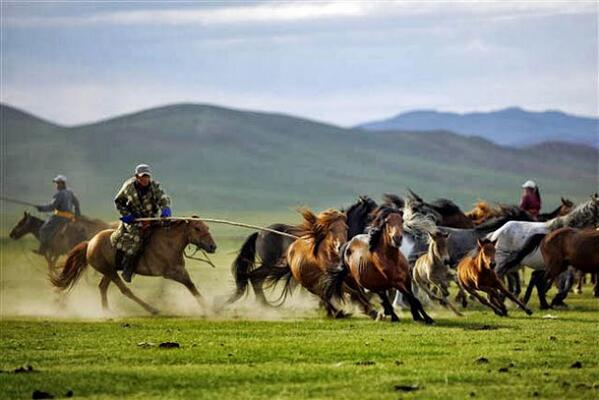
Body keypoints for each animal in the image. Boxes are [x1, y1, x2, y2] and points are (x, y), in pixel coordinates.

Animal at [49, 219, 218, 316]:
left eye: (207, 227)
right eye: (197, 228)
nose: (212, 246)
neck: (169, 242)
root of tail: (90, 242)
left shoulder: (176, 270)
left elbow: (188, 285)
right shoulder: (170, 272)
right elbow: (190, 284)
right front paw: (210, 307)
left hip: (110, 271)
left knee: (102, 287)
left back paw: (106, 311)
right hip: (109, 271)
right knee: (124, 290)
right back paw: (152, 309)